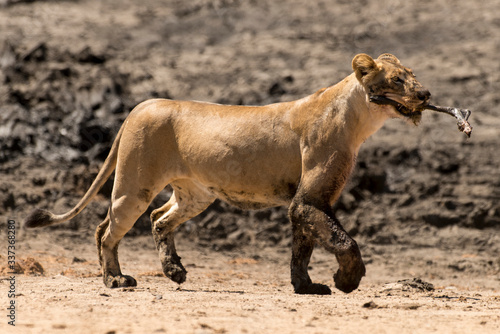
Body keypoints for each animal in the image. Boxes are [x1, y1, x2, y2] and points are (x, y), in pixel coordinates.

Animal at [24, 53, 430, 294]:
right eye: (398, 80)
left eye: (413, 75)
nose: (426, 94)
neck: (358, 118)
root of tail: (142, 104)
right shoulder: (310, 200)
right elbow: (343, 240)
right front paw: (347, 280)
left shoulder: (304, 203)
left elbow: (303, 247)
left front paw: (305, 286)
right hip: (134, 184)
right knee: (106, 228)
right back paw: (115, 279)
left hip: (195, 193)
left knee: (158, 218)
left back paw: (174, 271)